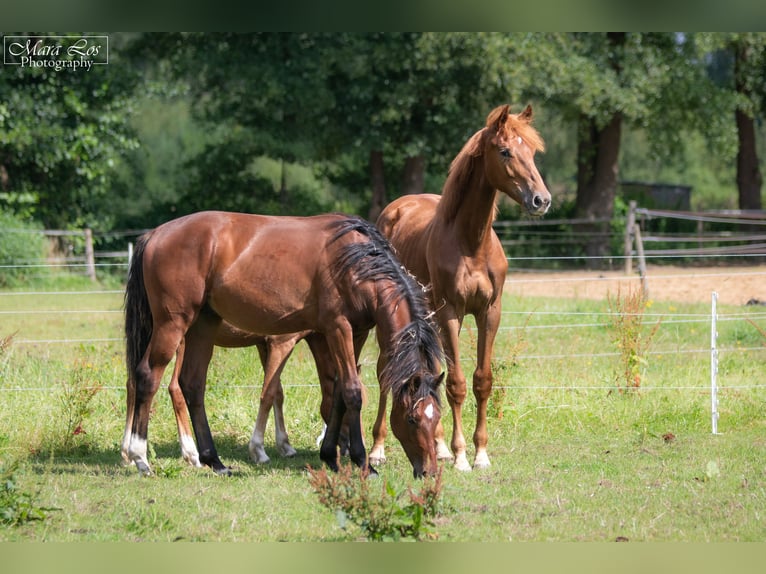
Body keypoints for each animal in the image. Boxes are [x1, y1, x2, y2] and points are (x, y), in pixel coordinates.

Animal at [124, 214, 444, 480]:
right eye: (412, 418)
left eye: (437, 417)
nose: (428, 471)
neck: (356, 263)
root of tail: (154, 234)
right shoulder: (337, 327)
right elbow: (352, 392)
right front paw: (363, 462)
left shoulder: (357, 332)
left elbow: (338, 391)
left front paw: (330, 456)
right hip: (172, 326)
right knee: (147, 377)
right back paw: (140, 457)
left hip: (203, 325)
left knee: (191, 385)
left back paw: (214, 461)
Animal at [374, 103, 548, 472]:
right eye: (505, 151)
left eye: (533, 152)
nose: (541, 200)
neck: (472, 243)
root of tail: (395, 208)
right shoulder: (450, 312)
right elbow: (456, 383)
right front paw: (461, 456)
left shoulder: (489, 312)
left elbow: (482, 381)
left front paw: (480, 453)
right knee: (385, 373)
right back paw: (378, 448)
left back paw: (437, 446)